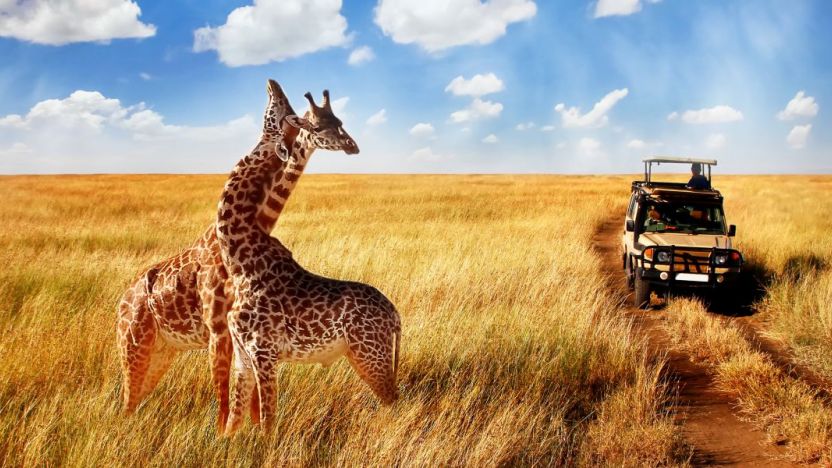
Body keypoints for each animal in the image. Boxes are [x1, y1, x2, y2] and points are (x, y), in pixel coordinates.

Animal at [115, 79, 357, 432]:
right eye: (317, 123)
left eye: (338, 121)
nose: (352, 146)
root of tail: (121, 301)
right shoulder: (220, 330)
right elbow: (226, 396)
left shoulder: (241, 333)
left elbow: (247, 396)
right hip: (134, 346)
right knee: (127, 401)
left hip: (162, 351)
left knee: (135, 400)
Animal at [216, 103, 401, 435]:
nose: (351, 145)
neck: (239, 263)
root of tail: (395, 314)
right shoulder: (242, 356)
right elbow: (234, 421)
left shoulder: (264, 352)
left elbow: (267, 420)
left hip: (370, 355)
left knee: (394, 400)